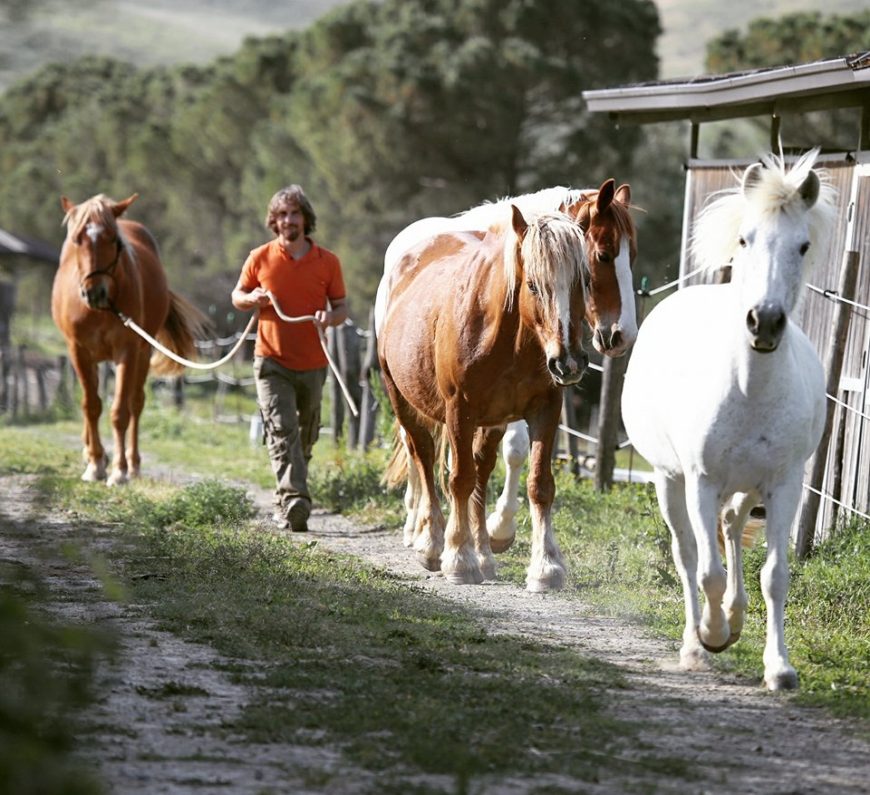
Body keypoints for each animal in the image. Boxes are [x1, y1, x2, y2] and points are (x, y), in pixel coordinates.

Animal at [52, 193, 209, 485]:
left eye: (114, 239)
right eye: (77, 240)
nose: (95, 292)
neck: (100, 310)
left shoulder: (127, 350)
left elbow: (120, 411)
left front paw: (119, 470)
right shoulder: (78, 350)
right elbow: (91, 405)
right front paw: (95, 464)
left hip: (143, 352)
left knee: (136, 403)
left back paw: (133, 464)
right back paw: (93, 454)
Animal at [376, 181, 637, 578]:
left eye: (632, 255)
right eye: (604, 255)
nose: (624, 335)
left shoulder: (532, 407)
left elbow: (526, 473)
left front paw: (526, 555)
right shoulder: (460, 407)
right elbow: (461, 474)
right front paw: (463, 551)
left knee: (471, 463)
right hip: (402, 395)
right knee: (421, 452)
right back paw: (428, 536)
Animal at [620, 149, 837, 690]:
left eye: (803, 245)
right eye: (746, 239)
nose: (765, 321)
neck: (750, 387)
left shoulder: (784, 485)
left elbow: (774, 575)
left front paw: (779, 667)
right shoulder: (701, 481)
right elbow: (707, 572)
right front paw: (711, 636)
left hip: (746, 488)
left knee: (733, 529)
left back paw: (736, 619)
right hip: (670, 481)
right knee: (689, 555)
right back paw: (696, 642)